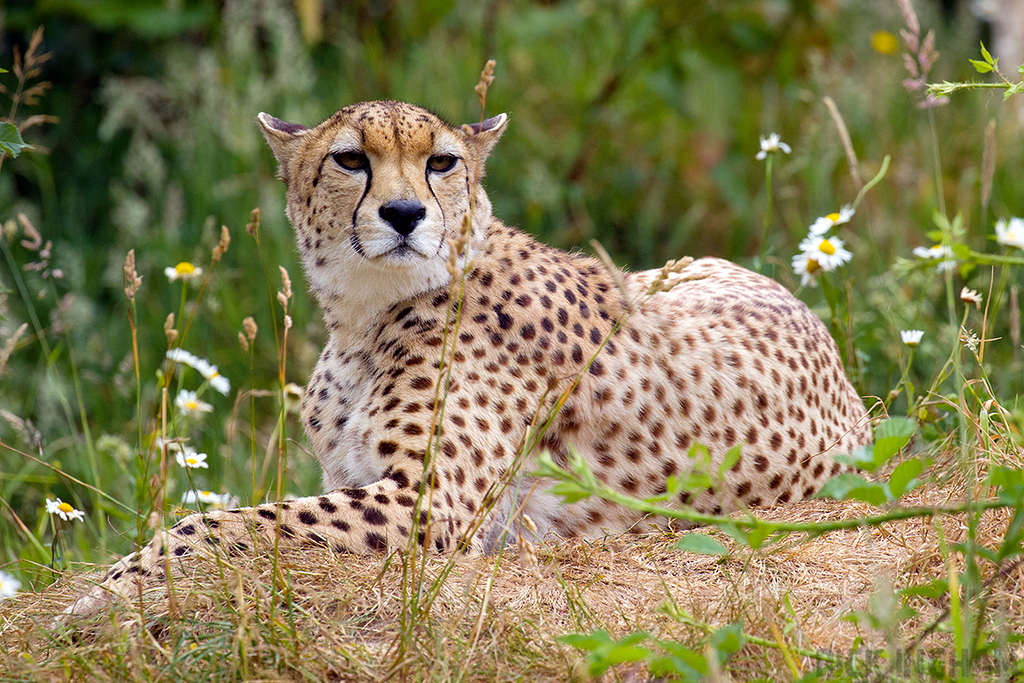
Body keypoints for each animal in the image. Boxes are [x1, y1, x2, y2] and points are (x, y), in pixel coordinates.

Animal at [66, 100, 872, 614]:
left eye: (442, 162)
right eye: (350, 159)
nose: (403, 213)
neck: (363, 319)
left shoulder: (426, 507)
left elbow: (223, 523)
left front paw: (108, 589)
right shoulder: (360, 480)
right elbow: (232, 519)